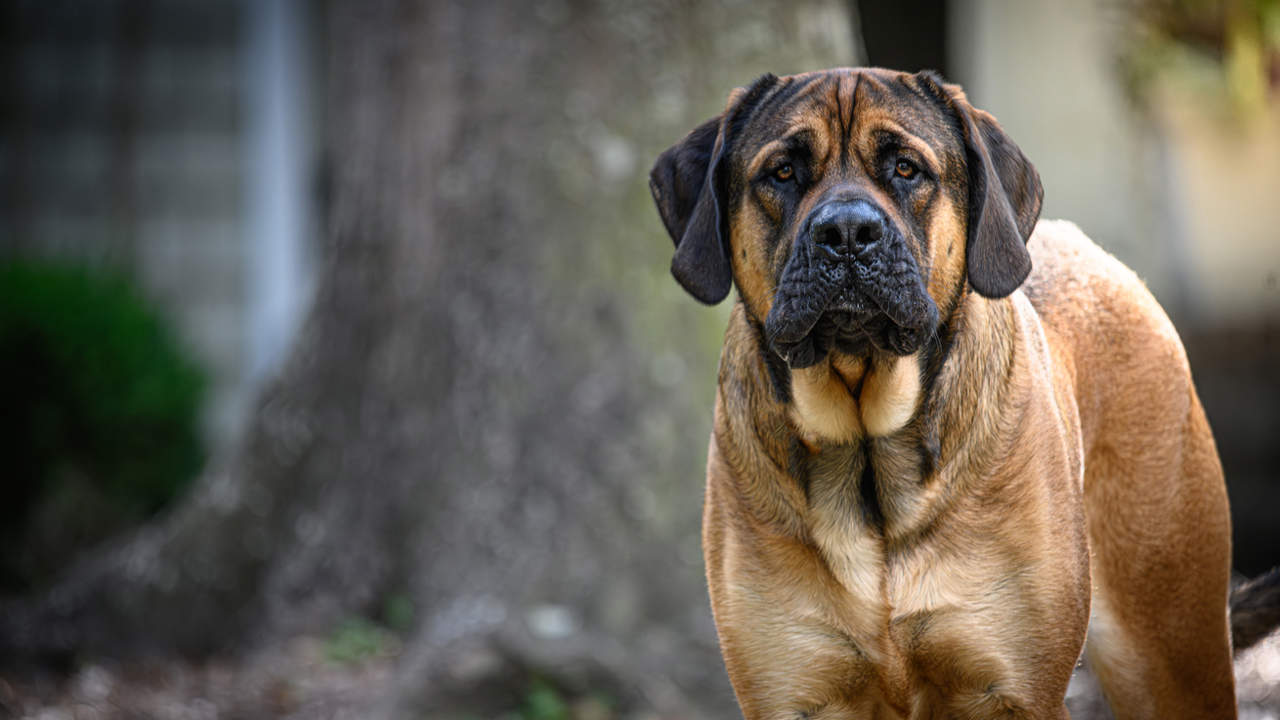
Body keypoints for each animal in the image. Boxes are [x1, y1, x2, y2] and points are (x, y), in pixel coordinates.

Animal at [650, 65, 1280, 712]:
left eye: (906, 168)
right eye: (782, 171)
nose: (847, 230)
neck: (867, 448)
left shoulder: (1015, 690)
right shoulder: (792, 693)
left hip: (1172, 644)